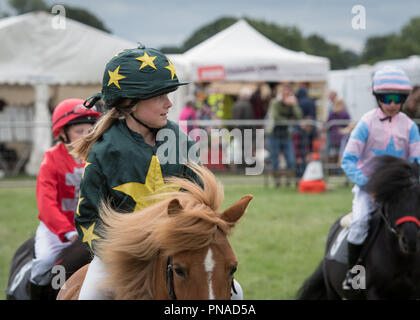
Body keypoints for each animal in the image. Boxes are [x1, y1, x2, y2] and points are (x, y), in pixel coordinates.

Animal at [296, 156, 420, 300]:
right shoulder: (374, 292)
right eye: (394, 200)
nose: (410, 240)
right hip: (332, 291)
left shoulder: (413, 292)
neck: (401, 259)